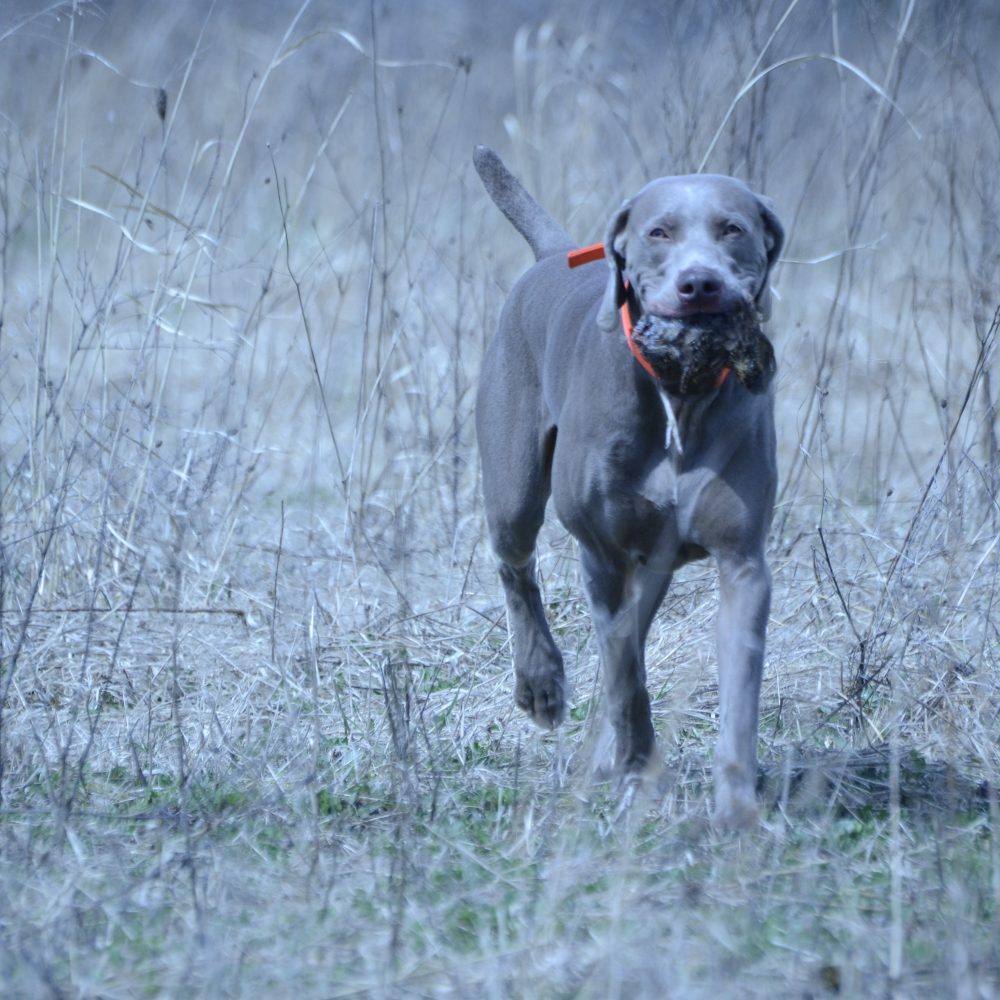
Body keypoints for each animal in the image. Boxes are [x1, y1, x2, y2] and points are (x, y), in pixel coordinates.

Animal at [472, 143, 784, 828]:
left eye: (733, 229)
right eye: (658, 232)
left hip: (657, 558)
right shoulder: (602, 556)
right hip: (514, 491)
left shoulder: (743, 563)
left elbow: (737, 692)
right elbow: (626, 676)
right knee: (516, 565)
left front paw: (736, 806)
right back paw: (541, 684)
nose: (700, 285)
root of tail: (553, 255)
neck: (680, 398)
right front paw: (641, 776)